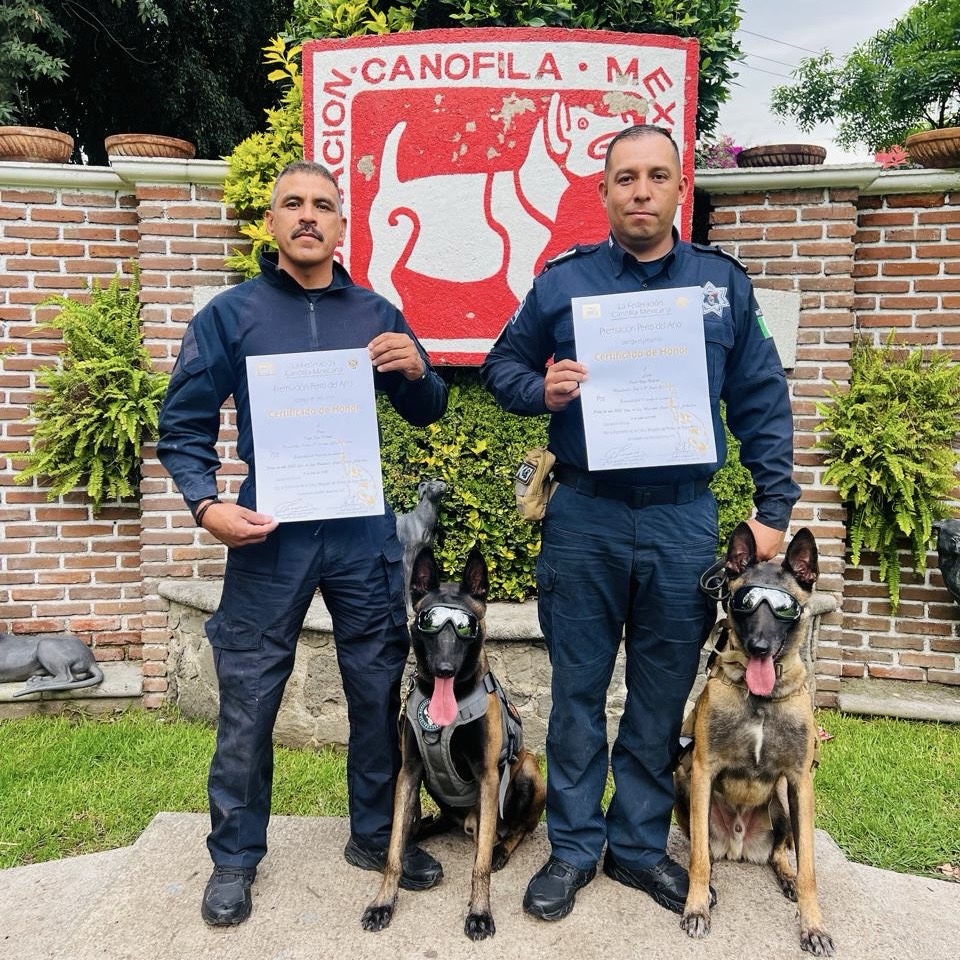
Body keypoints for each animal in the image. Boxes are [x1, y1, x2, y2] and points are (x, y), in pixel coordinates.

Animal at [361, 547, 546, 940]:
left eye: (465, 627)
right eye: (428, 622)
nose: (444, 668)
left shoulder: (490, 778)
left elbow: (480, 865)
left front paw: (480, 912)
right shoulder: (409, 771)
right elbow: (393, 850)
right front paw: (383, 903)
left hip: (528, 770)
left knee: (518, 829)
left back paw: (501, 848)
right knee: (431, 823)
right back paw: (424, 829)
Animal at [674, 523, 835, 957]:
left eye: (783, 608)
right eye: (744, 603)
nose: (759, 647)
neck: (760, 698)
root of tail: (739, 845)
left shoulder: (801, 782)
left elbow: (811, 868)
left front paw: (813, 927)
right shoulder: (701, 770)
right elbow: (698, 858)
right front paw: (696, 908)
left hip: (782, 807)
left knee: (781, 852)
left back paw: (787, 877)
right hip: (683, 783)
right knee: (703, 850)